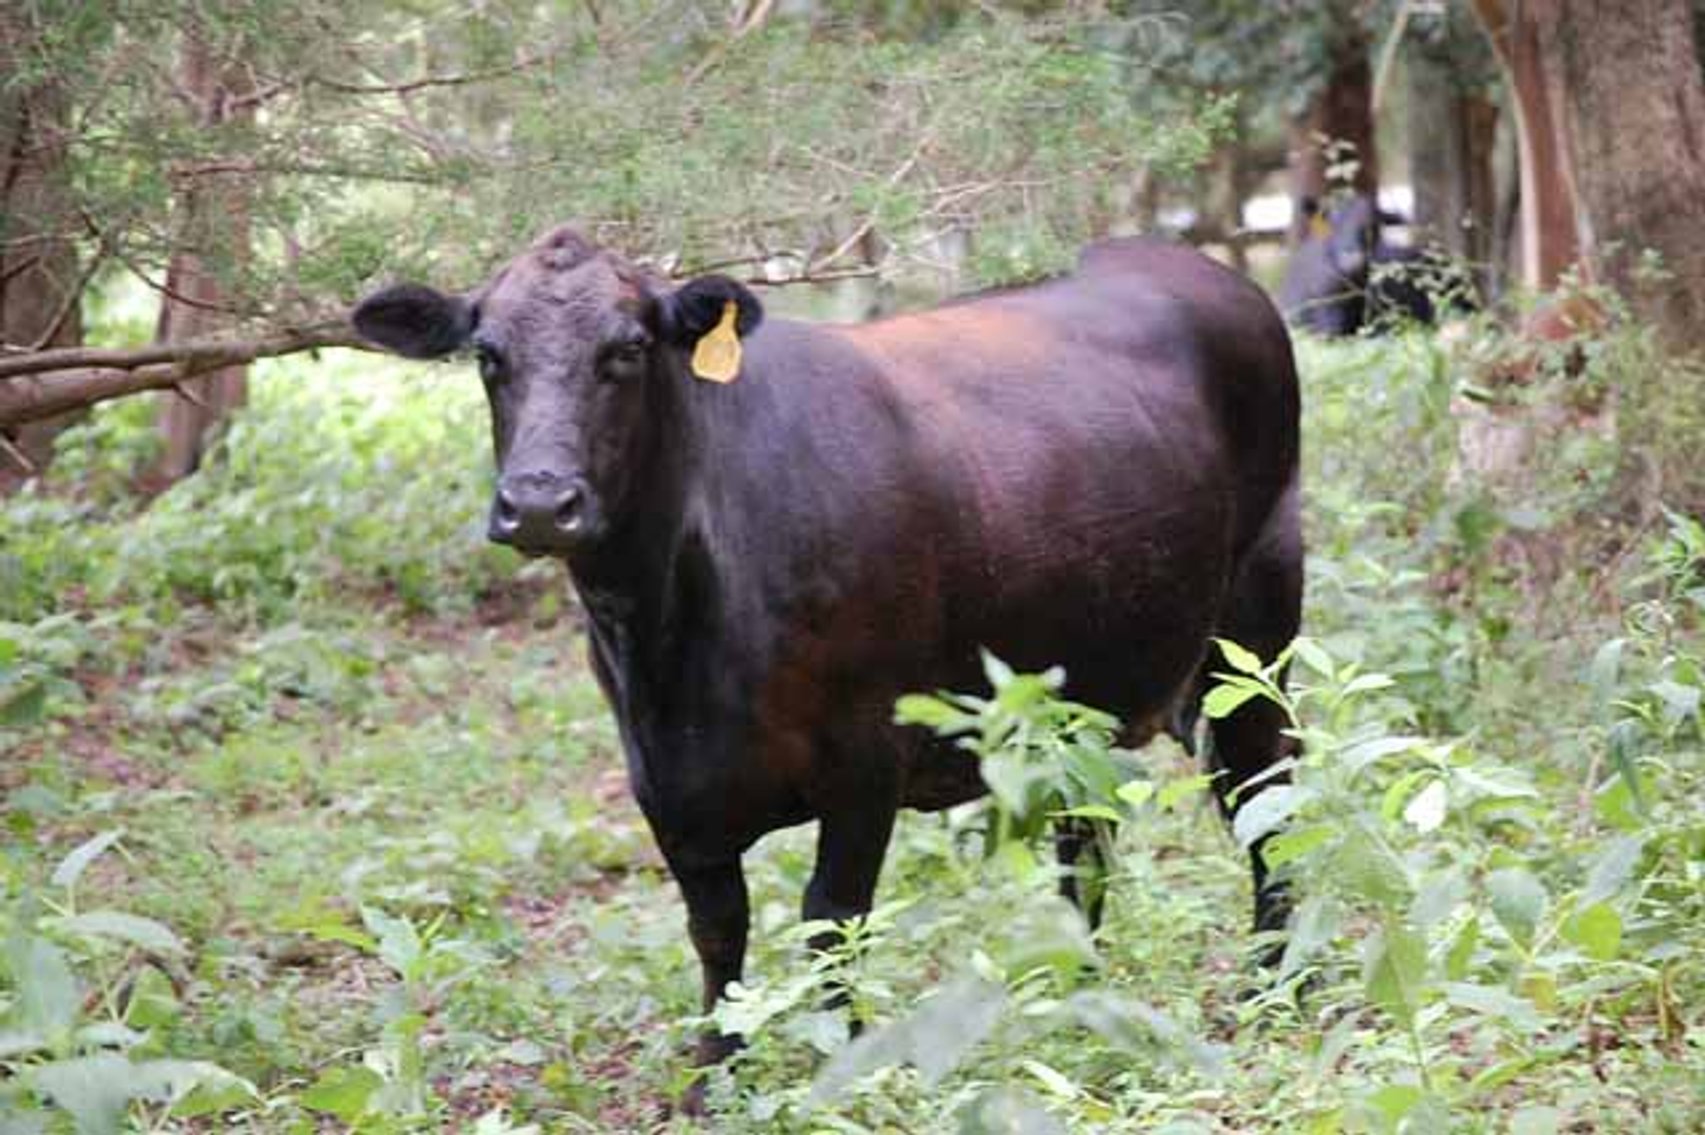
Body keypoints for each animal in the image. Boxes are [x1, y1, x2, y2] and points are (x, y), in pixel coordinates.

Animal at [351, 225, 1303, 1104]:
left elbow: (830, 922)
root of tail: (1185, 262)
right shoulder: (660, 780)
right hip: (1082, 688)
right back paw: (1071, 993)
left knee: (1267, 802)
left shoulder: (864, 755)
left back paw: (1273, 991)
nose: (541, 502)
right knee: (1086, 840)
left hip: (1253, 636)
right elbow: (717, 928)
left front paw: (841, 1072)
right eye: (487, 354)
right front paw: (712, 1079)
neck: (672, 644)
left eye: (626, 349)